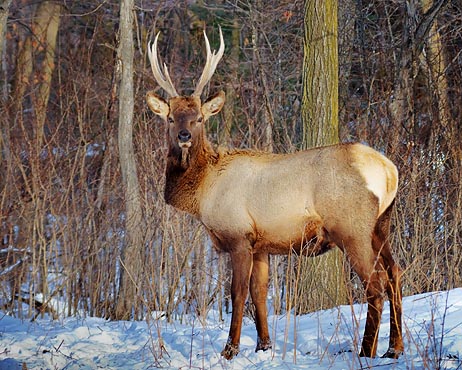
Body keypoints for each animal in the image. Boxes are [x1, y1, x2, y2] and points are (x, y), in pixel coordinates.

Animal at [146, 26, 402, 362]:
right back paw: (395, 348)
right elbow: (260, 293)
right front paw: (264, 345)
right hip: (381, 225)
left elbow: (238, 294)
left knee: (375, 284)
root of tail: (389, 171)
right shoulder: (262, 244)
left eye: (199, 117)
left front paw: (230, 350)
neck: (203, 194)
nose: (184, 136)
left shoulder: (238, 236)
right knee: (396, 273)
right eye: (171, 117)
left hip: (352, 228)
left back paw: (366, 351)